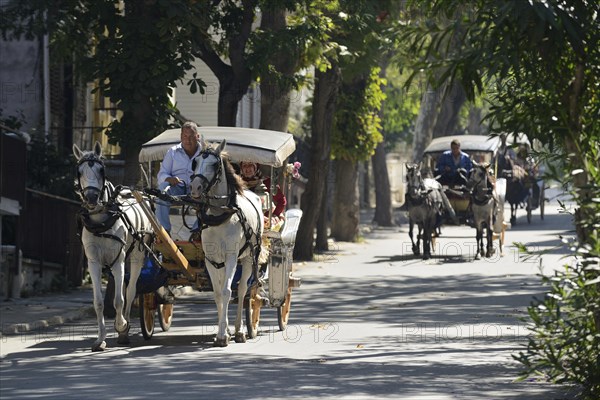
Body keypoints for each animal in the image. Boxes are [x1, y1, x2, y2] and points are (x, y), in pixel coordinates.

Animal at [73, 141, 152, 350]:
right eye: (80, 171)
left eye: (101, 170)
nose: (91, 198)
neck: (101, 222)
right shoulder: (93, 262)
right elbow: (99, 302)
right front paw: (100, 339)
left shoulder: (118, 260)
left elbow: (119, 300)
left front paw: (121, 325)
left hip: (136, 256)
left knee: (131, 291)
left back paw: (125, 328)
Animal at [190, 141, 264, 346]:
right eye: (195, 162)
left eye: (215, 165)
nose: (195, 188)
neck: (220, 215)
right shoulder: (211, 260)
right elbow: (218, 294)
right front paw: (222, 332)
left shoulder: (231, 257)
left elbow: (227, 291)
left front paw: (224, 336)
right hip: (221, 263)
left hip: (248, 258)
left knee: (243, 290)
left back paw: (239, 331)